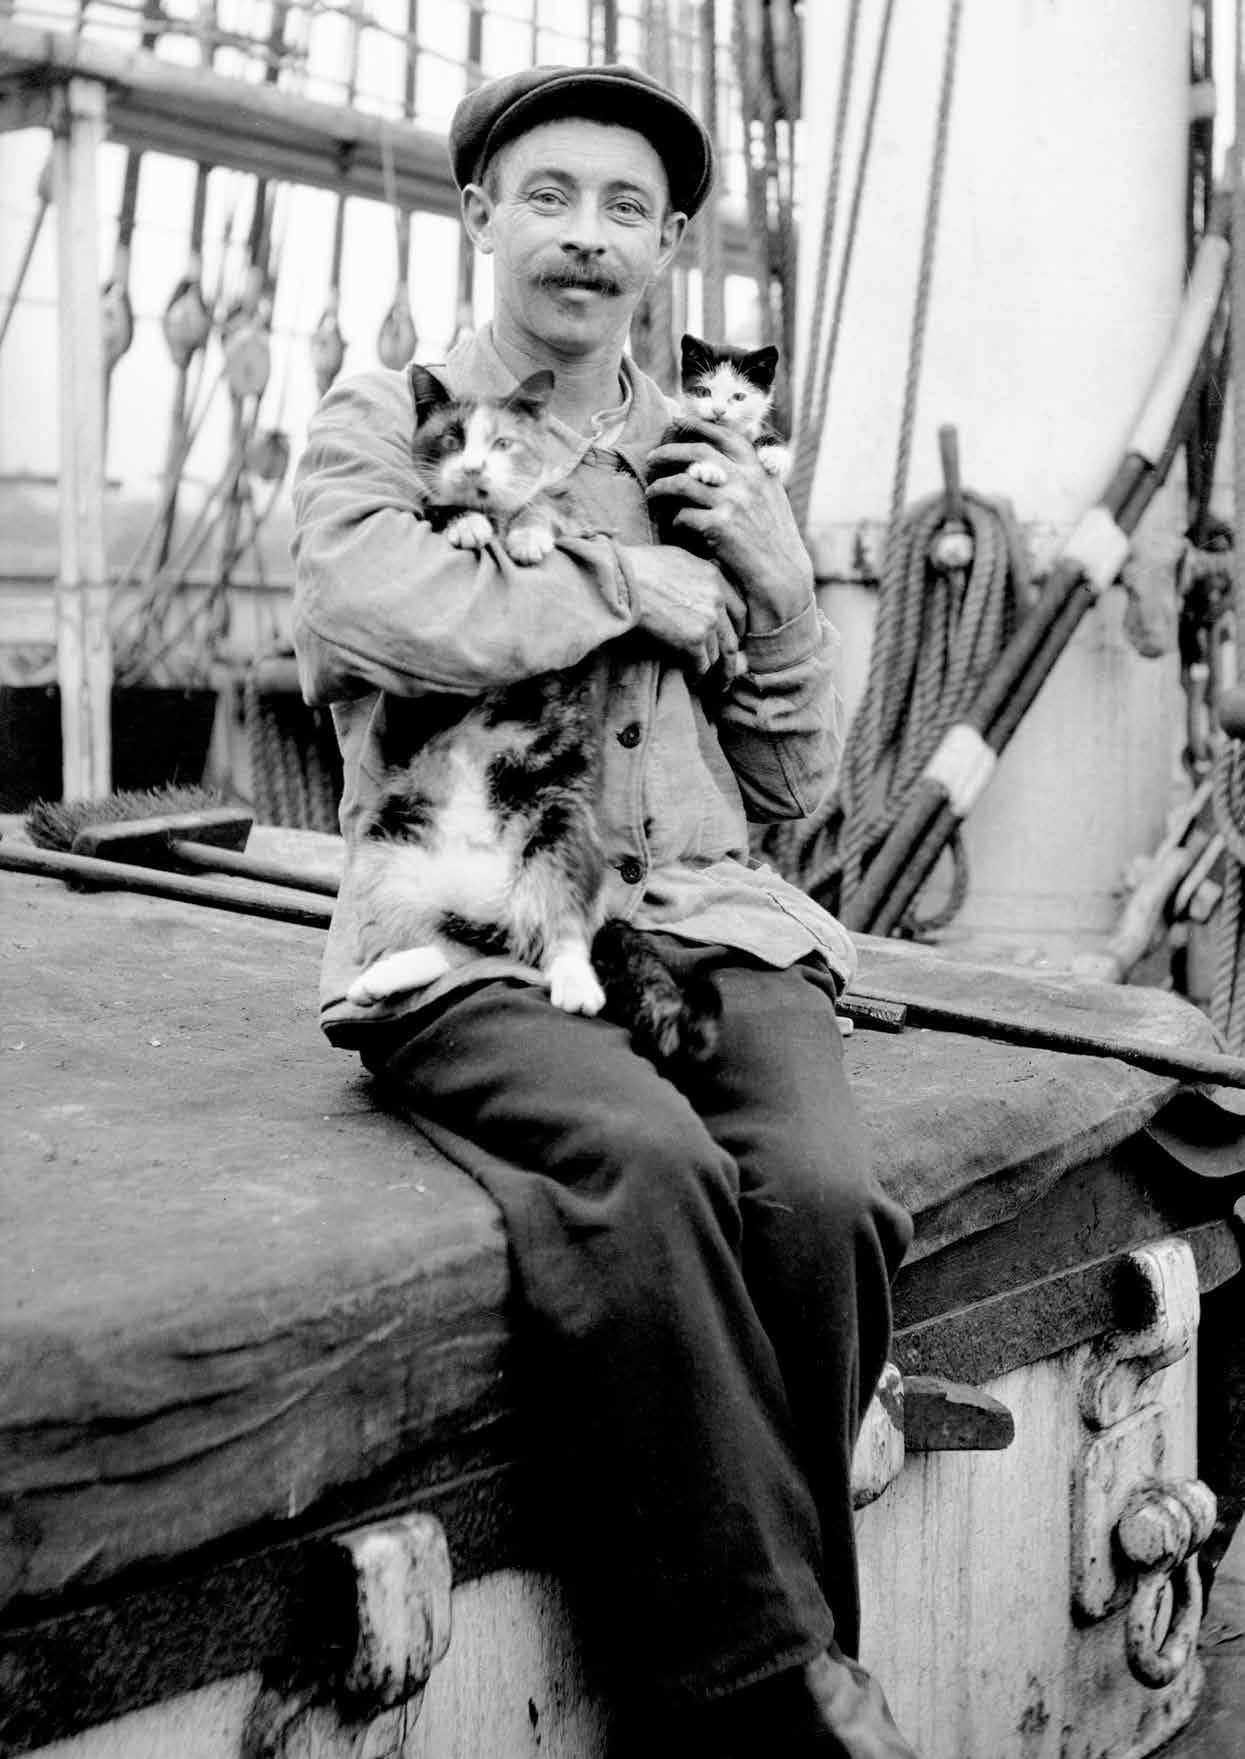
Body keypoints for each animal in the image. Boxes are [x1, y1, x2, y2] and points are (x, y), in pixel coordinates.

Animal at [346, 365, 719, 1077]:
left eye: (502, 443)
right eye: (453, 437)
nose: (473, 470)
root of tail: (490, 904)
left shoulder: (561, 507)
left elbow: (544, 510)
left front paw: (525, 536)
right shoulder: (422, 510)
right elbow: (438, 511)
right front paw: (466, 525)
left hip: (559, 836)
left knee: (561, 938)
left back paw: (577, 986)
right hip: (388, 844)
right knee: (445, 945)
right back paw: (382, 977)